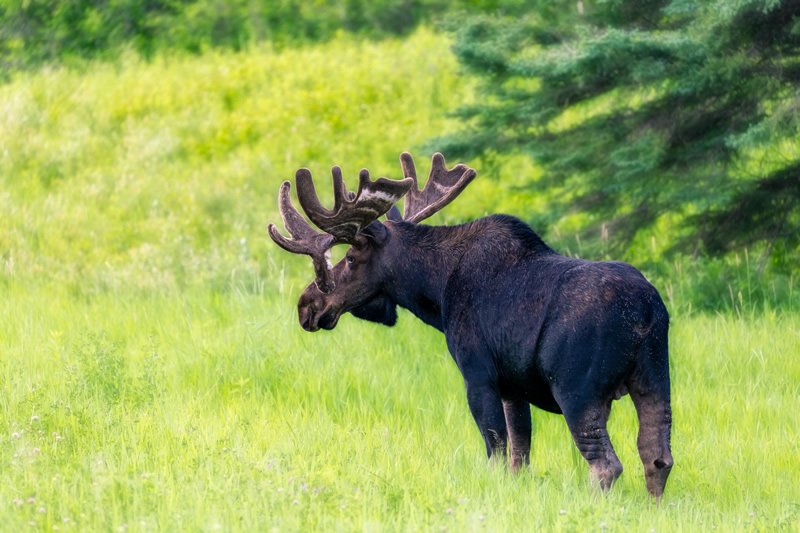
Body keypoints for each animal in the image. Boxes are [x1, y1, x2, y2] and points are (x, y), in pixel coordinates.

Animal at [268, 152, 674, 498]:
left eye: (351, 257)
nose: (307, 305)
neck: (436, 290)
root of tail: (645, 312)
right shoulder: (512, 387)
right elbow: (520, 455)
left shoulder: (478, 374)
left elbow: (497, 452)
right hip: (654, 377)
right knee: (657, 455)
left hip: (577, 389)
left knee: (607, 464)